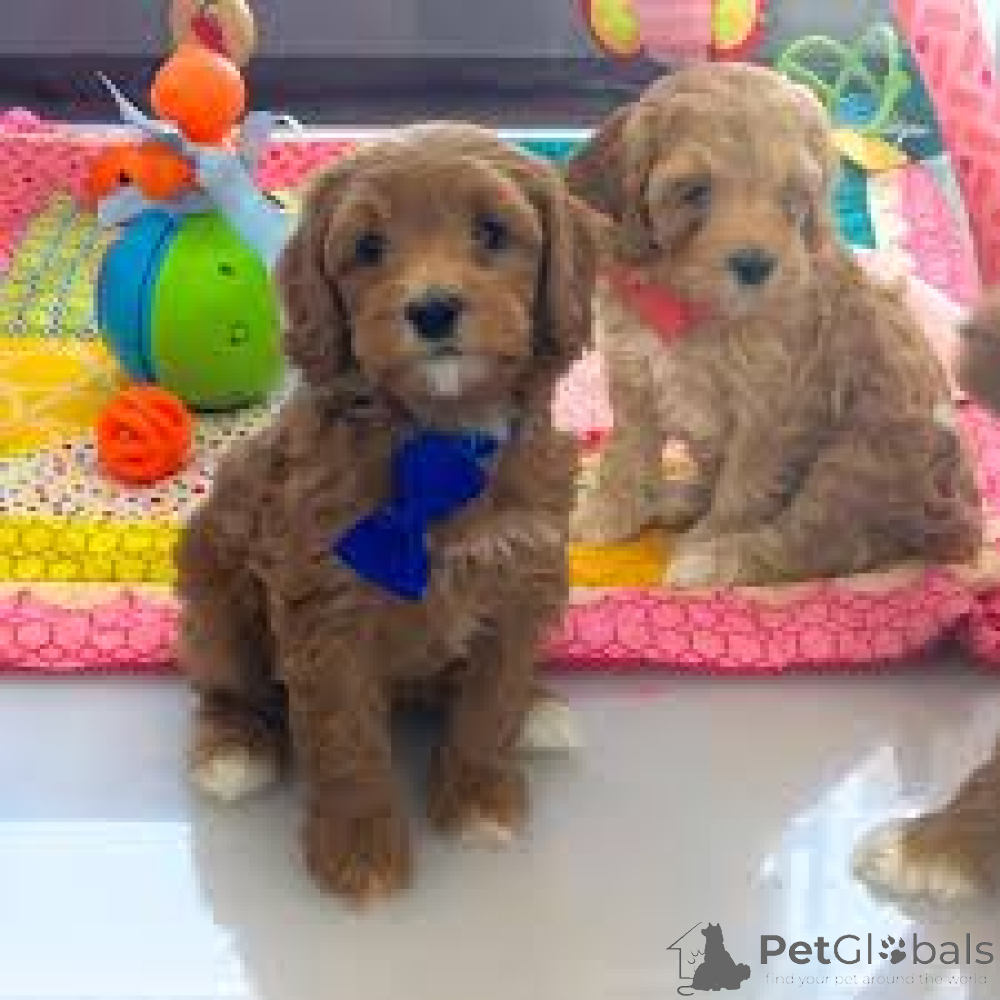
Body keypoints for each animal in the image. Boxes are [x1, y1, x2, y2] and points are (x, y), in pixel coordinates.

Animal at [176, 123, 597, 903]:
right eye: (369, 248)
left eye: (491, 233)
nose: (431, 309)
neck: (438, 438)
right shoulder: (327, 604)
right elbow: (346, 737)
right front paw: (359, 851)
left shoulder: (522, 576)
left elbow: (491, 699)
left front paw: (480, 797)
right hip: (214, 598)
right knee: (227, 684)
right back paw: (234, 749)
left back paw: (539, 707)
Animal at [565, 64, 982, 587]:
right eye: (694, 191)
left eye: (791, 197)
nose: (755, 264)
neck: (690, 303)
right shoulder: (634, 375)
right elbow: (627, 455)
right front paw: (607, 515)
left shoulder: (771, 410)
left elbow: (743, 490)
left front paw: (711, 540)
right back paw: (678, 497)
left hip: (860, 455)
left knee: (818, 539)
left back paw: (714, 559)